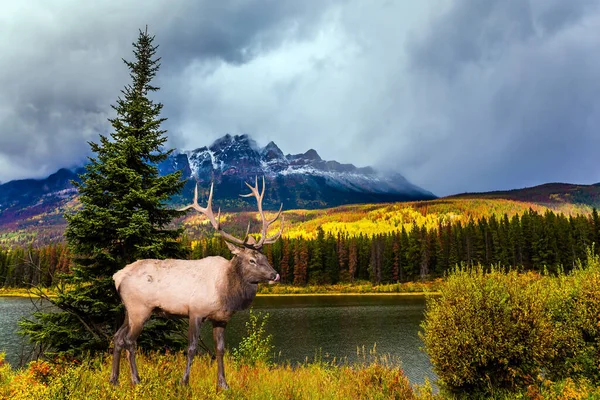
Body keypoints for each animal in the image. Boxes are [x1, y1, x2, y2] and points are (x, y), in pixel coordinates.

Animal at [108, 177, 284, 390]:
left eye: (265, 257)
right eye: (252, 260)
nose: (275, 275)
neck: (226, 292)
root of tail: (117, 276)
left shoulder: (221, 318)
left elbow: (220, 349)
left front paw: (223, 384)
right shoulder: (195, 311)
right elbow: (191, 348)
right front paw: (184, 382)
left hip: (128, 310)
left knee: (117, 338)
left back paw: (114, 380)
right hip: (139, 308)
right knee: (130, 341)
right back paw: (136, 380)